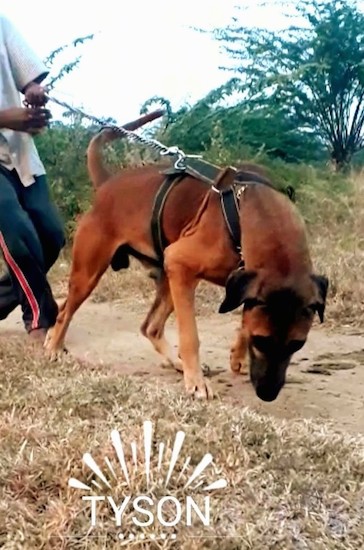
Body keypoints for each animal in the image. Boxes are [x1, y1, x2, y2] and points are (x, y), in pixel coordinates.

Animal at [44, 114, 328, 404]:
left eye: (298, 344)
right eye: (261, 341)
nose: (268, 395)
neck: (254, 208)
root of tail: (107, 184)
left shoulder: (238, 282)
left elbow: (243, 317)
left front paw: (236, 354)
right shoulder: (181, 262)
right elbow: (191, 336)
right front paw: (197, 383)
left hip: (167, 279)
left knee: (149, 327)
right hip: (92, 272)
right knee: (65, 312)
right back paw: (54, 346)